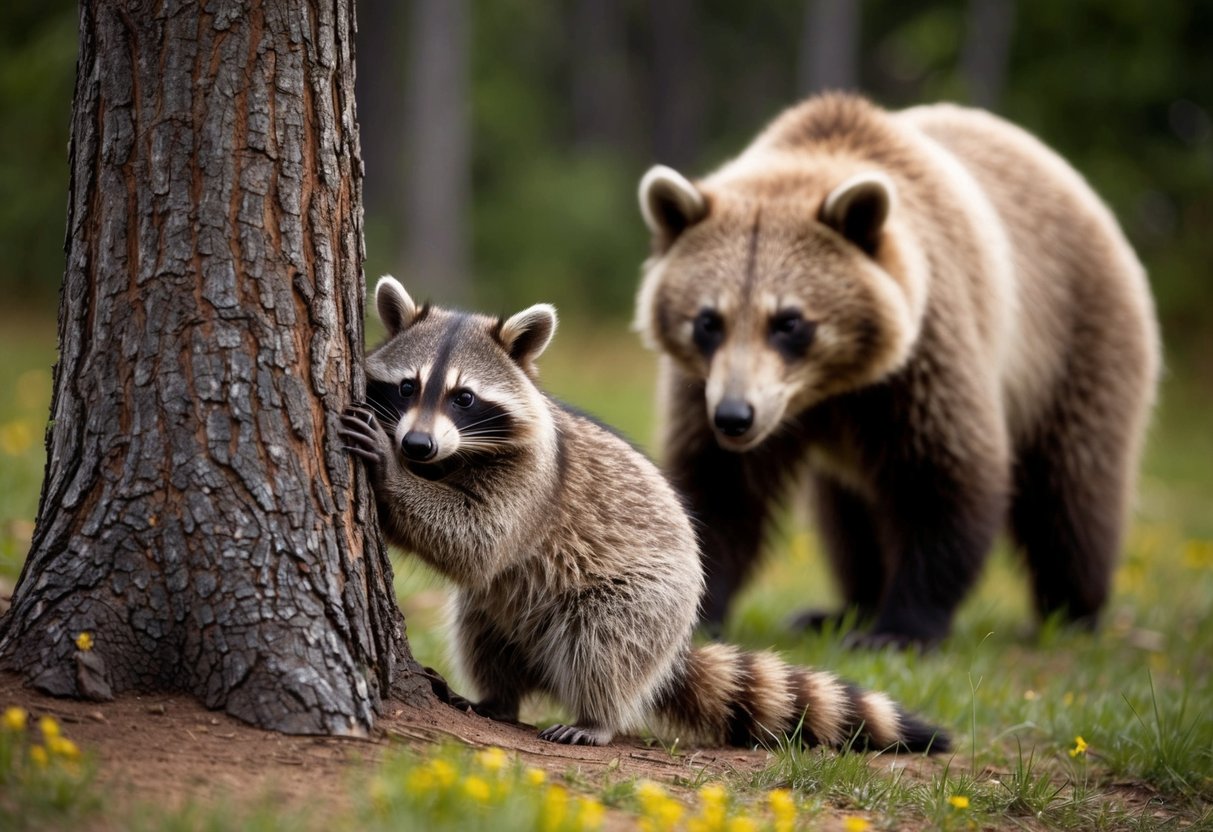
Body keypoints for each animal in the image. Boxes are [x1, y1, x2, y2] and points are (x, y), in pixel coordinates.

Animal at [338, 275, 949, 751]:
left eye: (463, 398)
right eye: (408, 386)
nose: (415, 445)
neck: (450, 458)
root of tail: (669, 654)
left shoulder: (534, 482)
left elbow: (477, 541)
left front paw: (390, 474)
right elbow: (472, 553)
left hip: (650, 600)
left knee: (604, 642)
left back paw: (597, 716)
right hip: (510, 616)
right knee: (481, 627)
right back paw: (499, 696)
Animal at [634, 93, 1160, 648]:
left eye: (789, 321)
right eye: (708, 320)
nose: (736, 417)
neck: (831, 388)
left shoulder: (925, 360)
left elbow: (943, 478)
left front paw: (901, 629)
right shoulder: (704, 387)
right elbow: (720, 488)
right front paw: (695, 613)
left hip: (1074, 337)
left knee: (1072, 486)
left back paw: (1071, 612)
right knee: (847, 518)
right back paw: (839, 608)